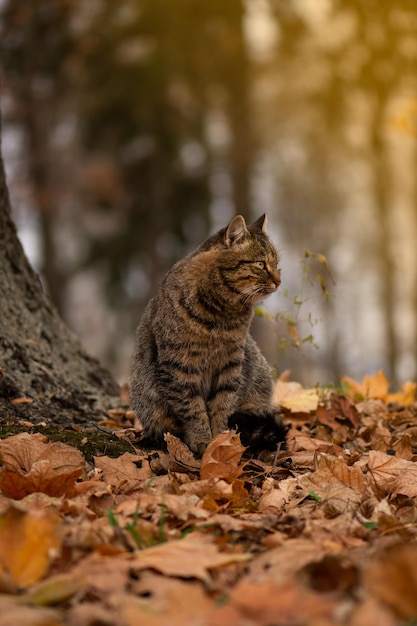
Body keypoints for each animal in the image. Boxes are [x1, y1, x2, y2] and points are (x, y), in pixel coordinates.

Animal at [130, 213, 286, 454]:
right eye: (261, 264)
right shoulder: (179, 365)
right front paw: (203, 440)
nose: (279, 281)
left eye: (277, 265)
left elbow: (224, 403)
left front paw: (222, 439)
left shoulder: (231, 362)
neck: (222, 314)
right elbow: (192, 407)